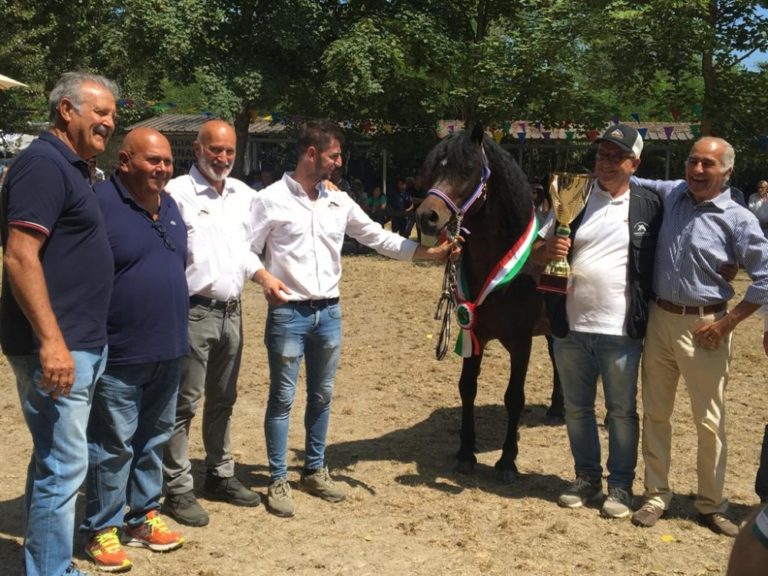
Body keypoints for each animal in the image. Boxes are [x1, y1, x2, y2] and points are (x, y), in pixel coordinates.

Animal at [414, 126, 540, 482]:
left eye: (468, 169)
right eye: (433, 169)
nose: (427, 216)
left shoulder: (522, 343)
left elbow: (514, 397)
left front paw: (508, 460)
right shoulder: (473, 332)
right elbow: (467, 387)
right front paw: (465, 452)